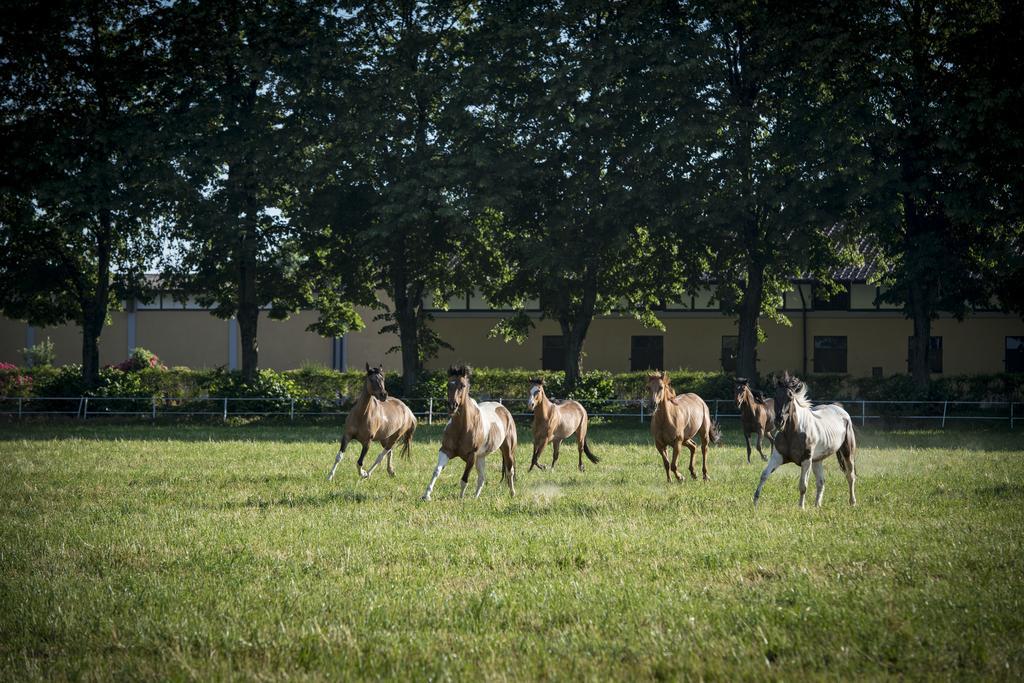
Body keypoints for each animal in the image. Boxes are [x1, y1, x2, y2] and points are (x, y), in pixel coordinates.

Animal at [419, 362, 516, 501]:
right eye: (448, 384)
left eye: (463, 385)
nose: (452, 406)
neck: (463, 427)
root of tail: (503, 409)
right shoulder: (445, 451)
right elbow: (436, 471)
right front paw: (426, 495)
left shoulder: (471, 456)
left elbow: (464, 479)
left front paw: (460, 498)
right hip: (481, 457)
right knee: (482, 478)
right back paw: (475, 498)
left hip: (507, 450)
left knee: (509, 471)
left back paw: (512, 493)